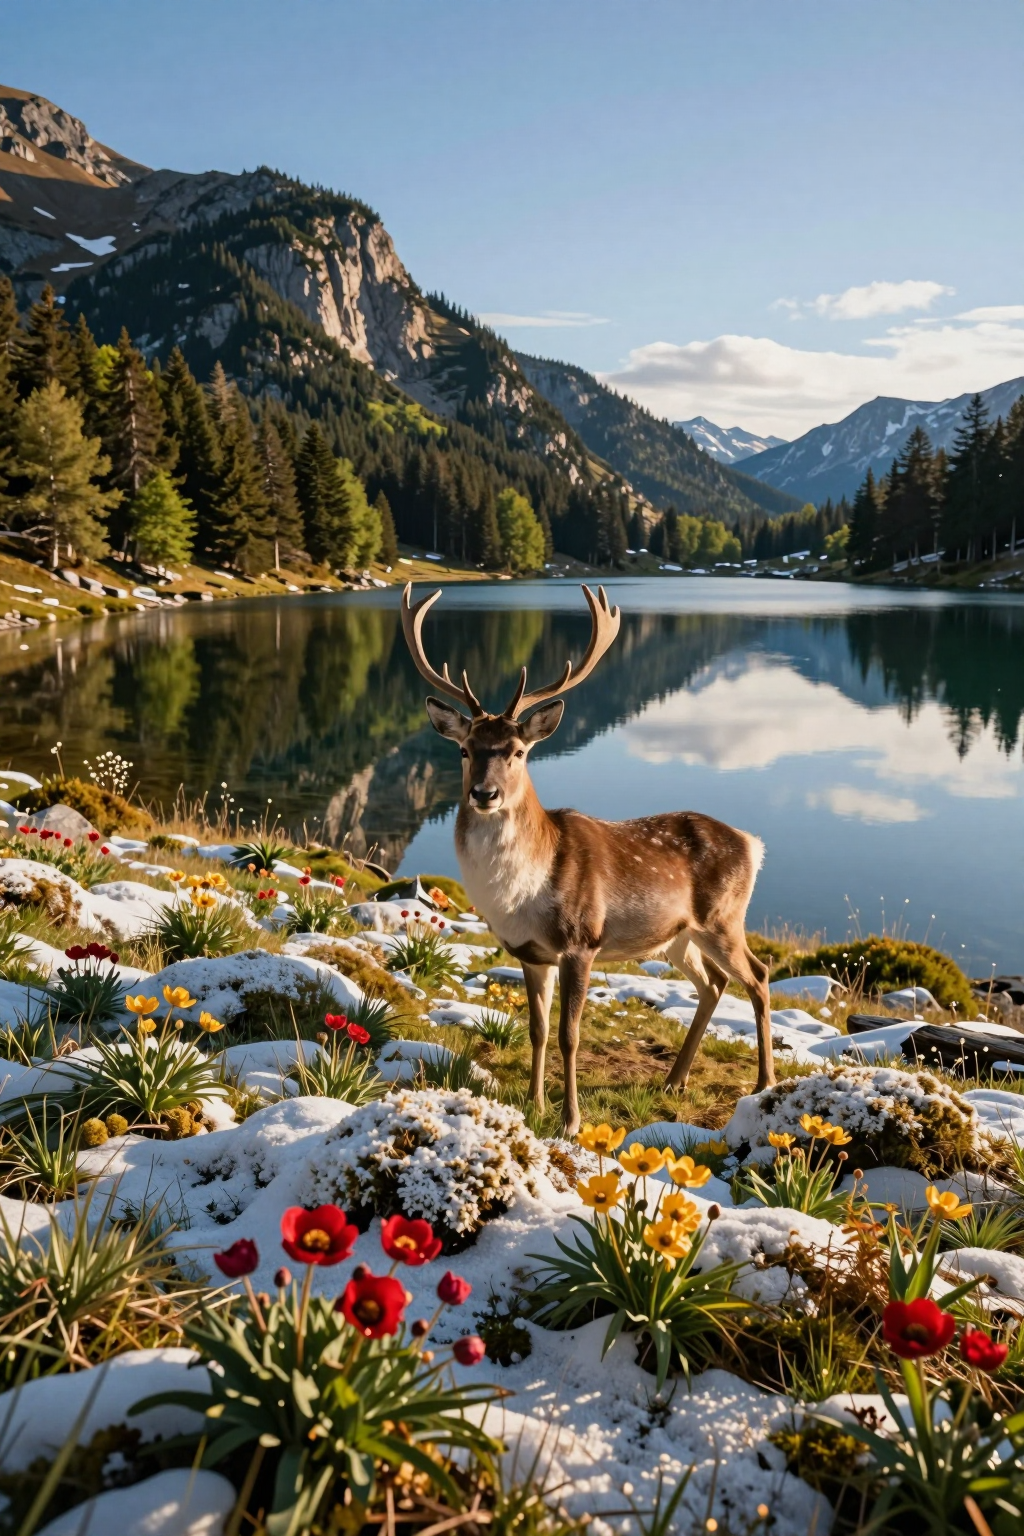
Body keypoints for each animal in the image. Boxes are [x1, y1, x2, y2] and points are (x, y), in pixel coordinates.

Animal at [401, 581, 775, 1133]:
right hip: (678, 936)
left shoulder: (582, 941)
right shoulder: (530, 953)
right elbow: (535, 1029)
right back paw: (673, 1080)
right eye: (465, 749)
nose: (484, 794)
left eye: (518, 751)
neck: (523, 894)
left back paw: (763, 1083)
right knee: (714, 983)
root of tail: (754, 843)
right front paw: (534, 1104)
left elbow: (568, 1034)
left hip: (724, 918)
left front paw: (570, 1120)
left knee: (759, 976)